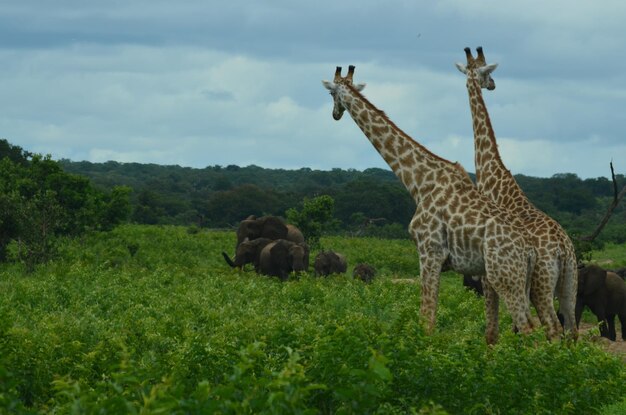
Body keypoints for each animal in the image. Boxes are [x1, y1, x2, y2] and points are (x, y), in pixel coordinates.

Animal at [322, 66, 536, 344]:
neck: (420, 182)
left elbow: (427, 319)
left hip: (504, 276)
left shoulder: (429, 252)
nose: (335, 114)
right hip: (521, 281)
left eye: (332, 93)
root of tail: (530, 251)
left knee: (529, 329)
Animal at [454, 46, 576, 342]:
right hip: (570, 284)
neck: (491, 173)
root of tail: (564, 250)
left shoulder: (489, 276)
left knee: (553, 328)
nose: (493, 85)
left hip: (542, 285)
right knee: (573, 330)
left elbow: (493, 330)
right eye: (487, 74)